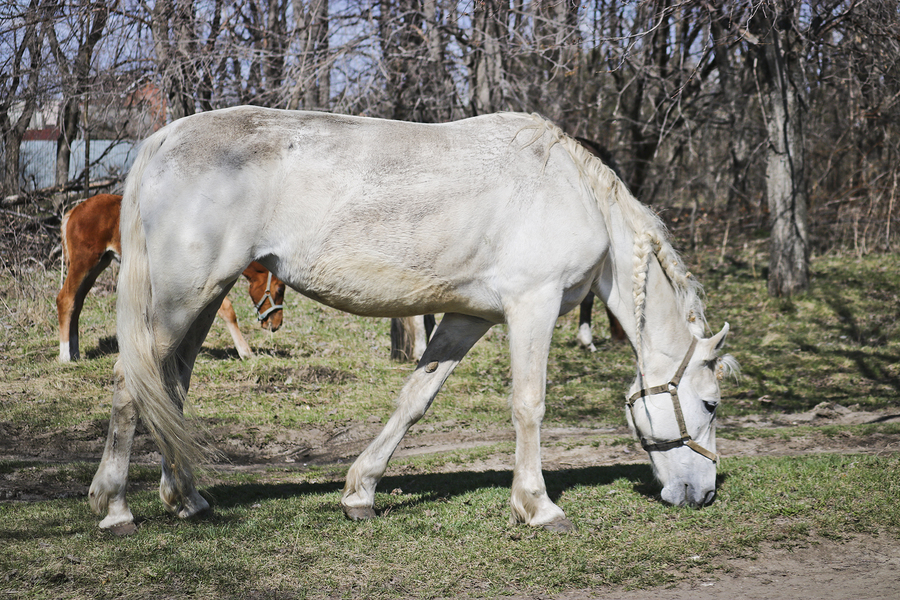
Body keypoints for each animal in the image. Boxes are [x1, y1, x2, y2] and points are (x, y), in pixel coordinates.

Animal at [58, 193, 284, 360]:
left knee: (77, 303)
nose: (277, 324)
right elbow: (227, 310)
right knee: (65, 299)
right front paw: (245, 352)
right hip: (84, 264)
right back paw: (65, 355)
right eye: (280, 289)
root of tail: (74, 211)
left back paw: (75, 351)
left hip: (97, 265)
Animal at [88, 105, 736, 532]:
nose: (702, 494)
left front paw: (360, 492)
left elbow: (414, 400)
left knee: (171, 387)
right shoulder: (534, 304)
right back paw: (115, 507)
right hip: (179, 298)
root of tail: (160, 142)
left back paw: (186, 499)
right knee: (129, 381)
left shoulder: (467, 317)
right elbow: (529, 405)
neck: (572, 191)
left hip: (201, 298)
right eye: (709, 405)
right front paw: (538, 505)